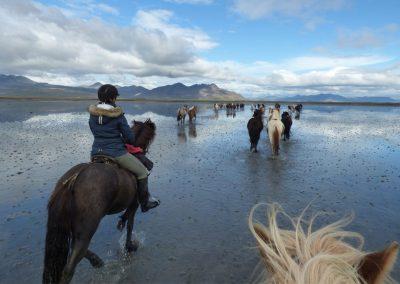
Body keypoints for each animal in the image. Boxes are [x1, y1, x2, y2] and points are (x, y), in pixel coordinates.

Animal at [43, 118, 156, 282]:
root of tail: (73, 179)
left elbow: (127, 220)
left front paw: (122, 226)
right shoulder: (134, 203)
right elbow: (130, 224)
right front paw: (129, 246)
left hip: (70, 225)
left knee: (75, 248)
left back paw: (96, 261)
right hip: (88, 226)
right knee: (72, 262)